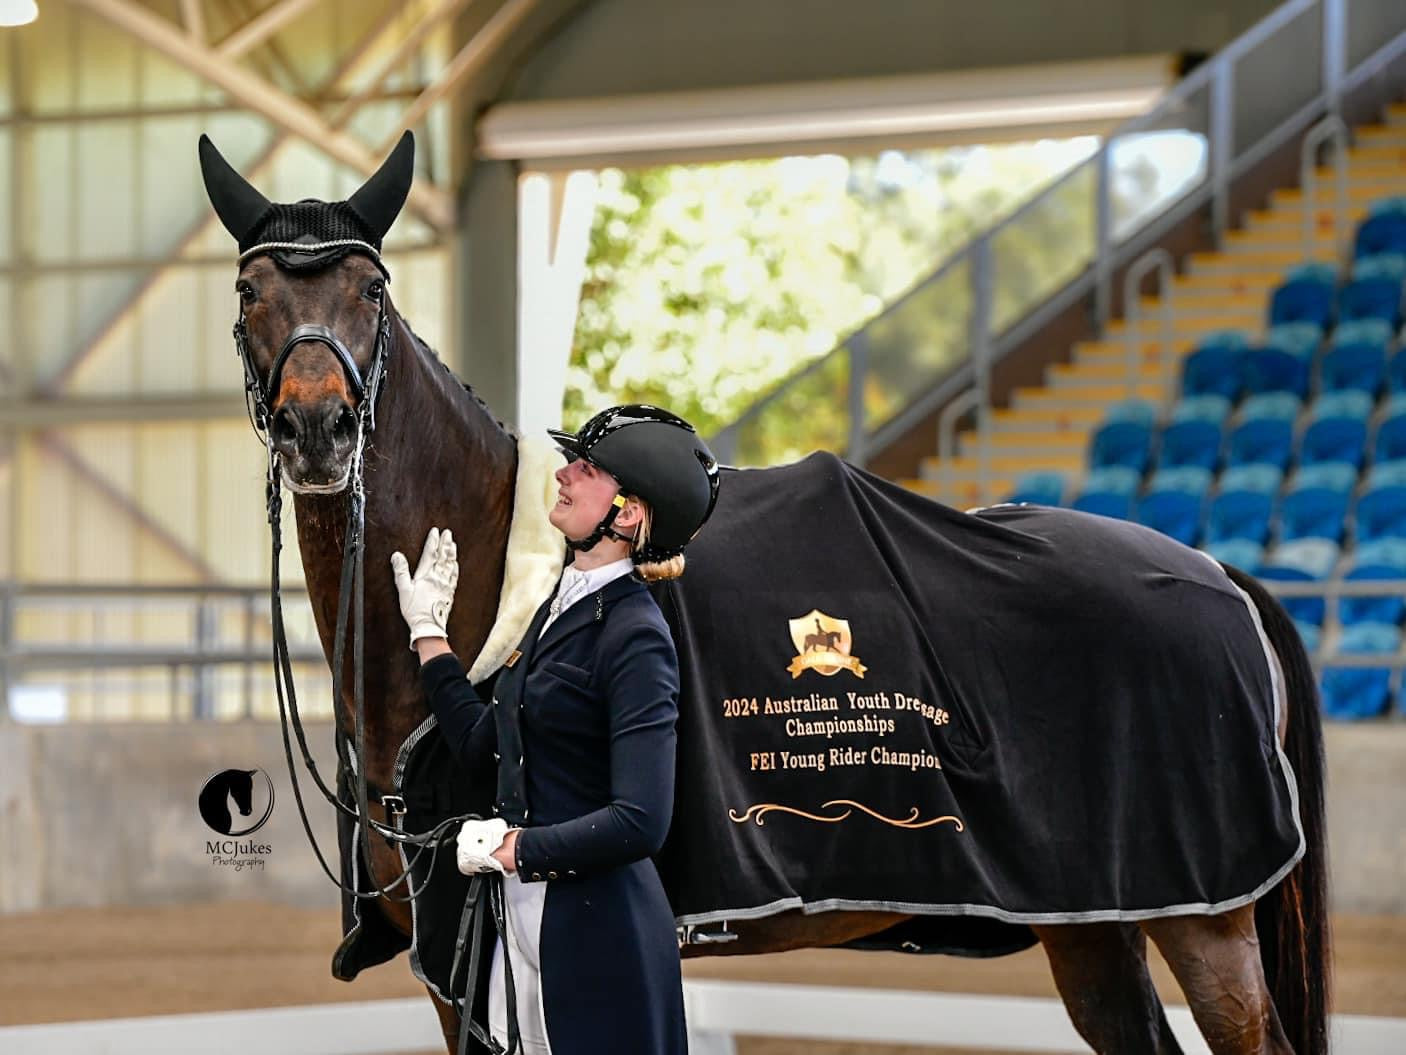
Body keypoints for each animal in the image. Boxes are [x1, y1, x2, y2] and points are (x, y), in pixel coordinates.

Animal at [201, 136, 1327, 1052]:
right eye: (251, 293)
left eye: (369, 293)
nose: (317, 429)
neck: (491, 564)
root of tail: (1215, 573)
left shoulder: (474, 956)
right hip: (1091, 922)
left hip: (1204, 919)